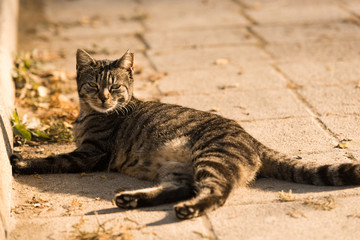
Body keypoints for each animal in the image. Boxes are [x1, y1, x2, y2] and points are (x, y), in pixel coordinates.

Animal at [11, 49, 360, 219]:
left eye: (115, 87)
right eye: (93, 86)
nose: (105, 98)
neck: (89, 114)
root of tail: (251, 138)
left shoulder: (90, 153)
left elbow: (53, 159)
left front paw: (21, 162)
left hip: (213, 158)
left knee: (216, 193)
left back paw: (188, 210)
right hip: (177, 168)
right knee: (182, 188)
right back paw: (130, 199)